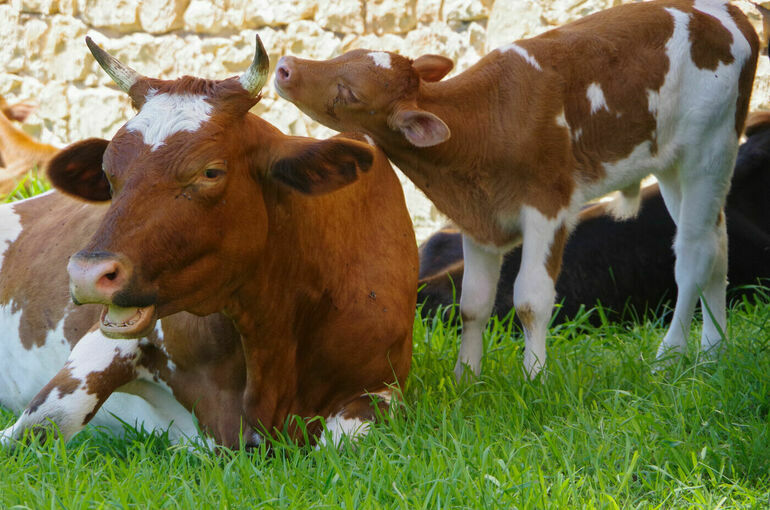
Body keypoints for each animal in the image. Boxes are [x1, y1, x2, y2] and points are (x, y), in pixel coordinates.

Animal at [3, 35, 416, 448]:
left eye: (211, 171)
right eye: (108, 173)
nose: (87, 273)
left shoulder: (382, 387)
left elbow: (342, 439)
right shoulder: (105, 343)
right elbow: (43, 423)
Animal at [272, 0, 760, 378]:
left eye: (348, 92)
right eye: (347, 53)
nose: (284, 67)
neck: (481, 123)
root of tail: (729, 12)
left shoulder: (549, 206)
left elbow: (530, 299)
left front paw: (534, 376)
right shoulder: (477, 219)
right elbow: (472, 303)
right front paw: (465, 378)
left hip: (709, 150)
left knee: (694, 255)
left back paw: (670, 355)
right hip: (675, 167)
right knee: (717, 243)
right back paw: (713, 351)